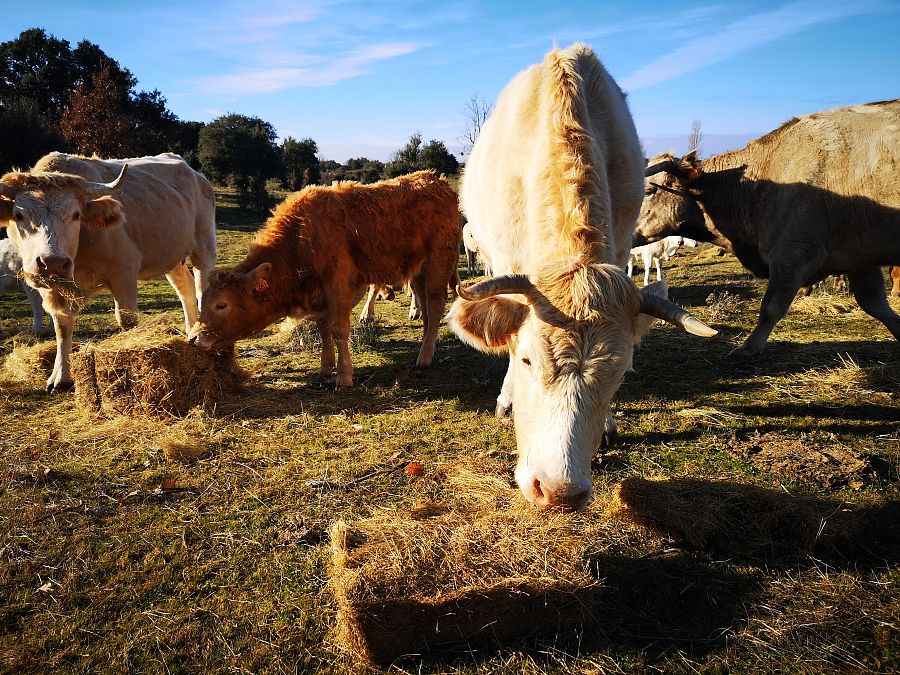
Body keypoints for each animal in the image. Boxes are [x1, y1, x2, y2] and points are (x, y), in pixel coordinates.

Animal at [0, 152, 217, 392]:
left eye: (76, 214)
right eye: (19, 215)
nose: (53, 262)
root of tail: (198, 176)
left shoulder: (124, 272)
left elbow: (127, 321)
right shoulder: (54, 289)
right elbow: (62, 328)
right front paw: (60, 377)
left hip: (204, 246)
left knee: (202, 289)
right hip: (172, 258)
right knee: (185, 290)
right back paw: (190, 332)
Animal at [189, 171, 461, 388]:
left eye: (221, 305)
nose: (193, 338)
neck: (300, 238)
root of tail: (436, 181)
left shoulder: (337, 285)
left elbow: (338, 329)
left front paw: (344, 376)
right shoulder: (319, 295)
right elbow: (323, 329)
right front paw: (326, 366)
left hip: (439, 263)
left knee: (435, 306)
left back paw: (424, 356)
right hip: (419, 271)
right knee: (426, 310)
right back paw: (427, 344)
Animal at [638, 100, 900, 360]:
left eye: (649, 191)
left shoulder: (792, 255)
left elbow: (770, 308)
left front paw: (748, 348)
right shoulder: (860, 258)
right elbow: (875, 305)